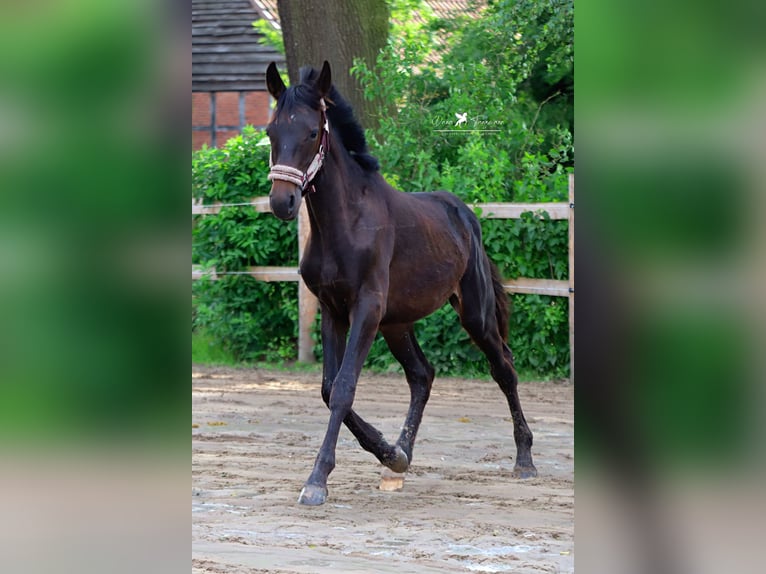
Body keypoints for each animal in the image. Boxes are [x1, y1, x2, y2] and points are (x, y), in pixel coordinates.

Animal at [268, 60, 536, 506]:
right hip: (397, 324)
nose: (281, 202)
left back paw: (525, 459)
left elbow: (343, 387)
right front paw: (385, 451)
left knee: (504, 369)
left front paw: (317, 480)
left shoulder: (366, 307)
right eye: (272, 131)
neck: (345, 223)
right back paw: (399, 454)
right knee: (422, 375)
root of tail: (464, 214)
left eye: (311, 133)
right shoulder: (332, 309)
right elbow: (327, 387)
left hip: (474, 315)